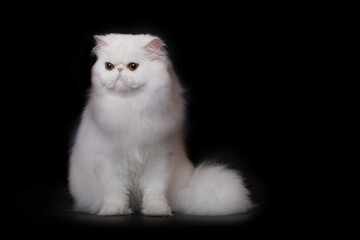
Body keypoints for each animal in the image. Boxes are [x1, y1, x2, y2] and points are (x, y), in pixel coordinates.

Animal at [68, 33, 253, 216]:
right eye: (109, 66)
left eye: (133, 66)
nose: (119, 70)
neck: (131, 107)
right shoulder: (111, 161)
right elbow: (116, 191)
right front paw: (114, 211)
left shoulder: (160, 158)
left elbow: (154, 191)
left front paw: (157, 211)